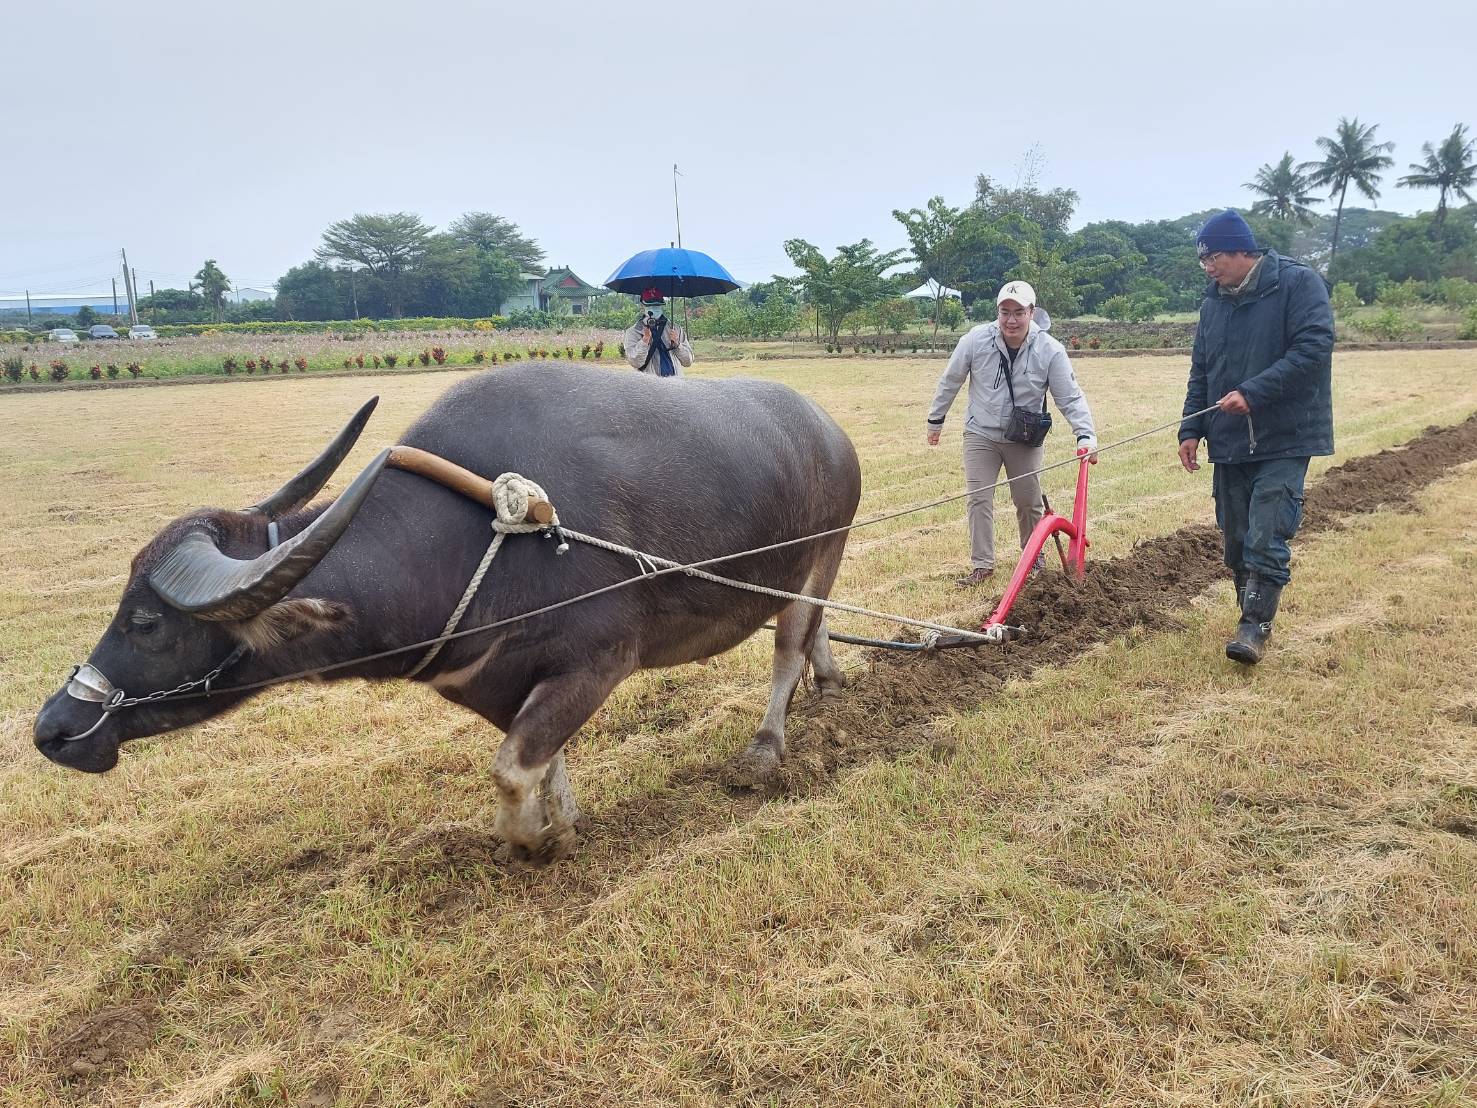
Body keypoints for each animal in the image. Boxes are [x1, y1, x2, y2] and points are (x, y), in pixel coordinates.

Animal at [31, 369, 862, 862]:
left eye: (146, 621)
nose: (53, 729)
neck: (470, 540)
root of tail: (828, 428)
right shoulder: (496, 682)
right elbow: (542, 755)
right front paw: (563, 820)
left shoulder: (599, 660)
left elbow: (512, 768)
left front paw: (532, 842)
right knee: (816, 628)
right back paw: (828, 680)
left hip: (825, 549)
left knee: (789, 641)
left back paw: (765, 749)